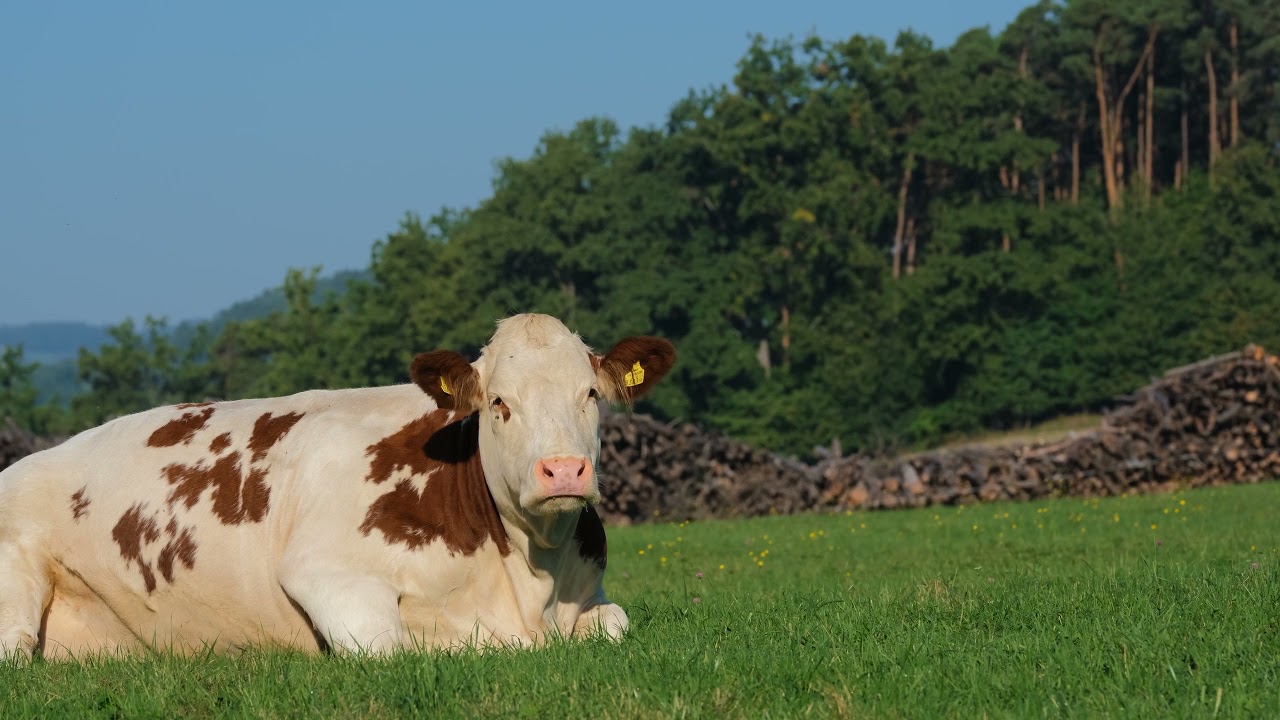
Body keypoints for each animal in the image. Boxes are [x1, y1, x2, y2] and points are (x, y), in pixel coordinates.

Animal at [0, 314, 675, 659]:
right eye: (499, 404)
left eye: (590, 395)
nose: (564, 470)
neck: (530, 580)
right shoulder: (325, 570)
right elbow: (399, 648)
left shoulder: (592, 596)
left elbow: (616, 623)